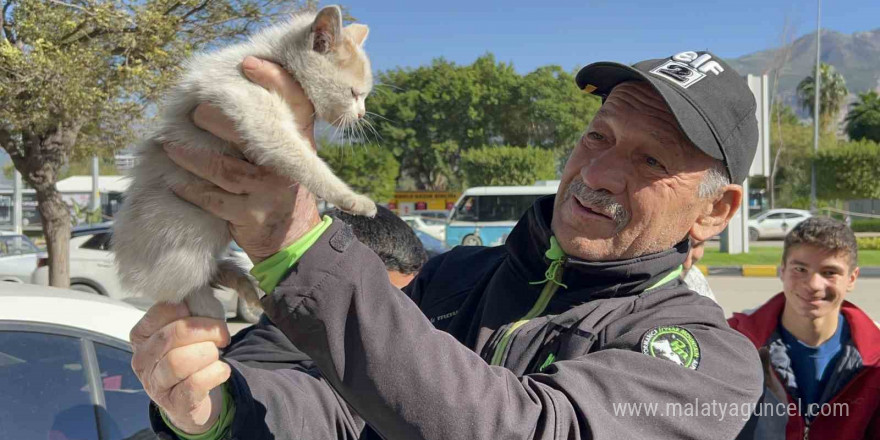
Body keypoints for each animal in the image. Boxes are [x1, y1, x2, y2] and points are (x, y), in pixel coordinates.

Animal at [113, 6, 374, 320]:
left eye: (363, 97)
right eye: (354, 94)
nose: (361, 115)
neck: (275, 58)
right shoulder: (254, 109)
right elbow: (303, 159)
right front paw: (352, 198)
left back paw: (242, 283)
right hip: (187, 233)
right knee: (182, 290)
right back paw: (211, 307)